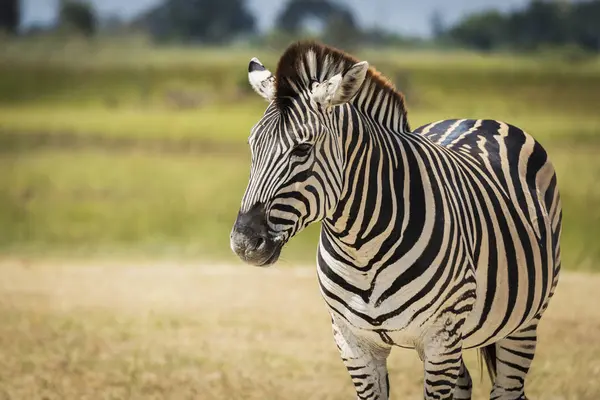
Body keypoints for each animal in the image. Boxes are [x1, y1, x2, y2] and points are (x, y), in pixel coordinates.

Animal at [230, 41, 564, 400]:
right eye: (252, 145)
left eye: (302, 149)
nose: (243, 242)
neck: (360, 249)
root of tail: (478, 118)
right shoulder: (354, 343)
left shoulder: (439, 340)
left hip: (523, 323)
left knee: (508, 388)